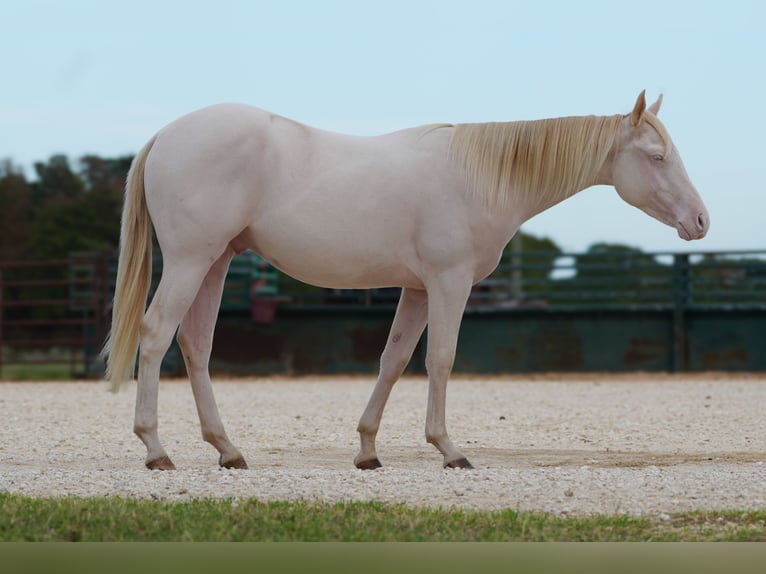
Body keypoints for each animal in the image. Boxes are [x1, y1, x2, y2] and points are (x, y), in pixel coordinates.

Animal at [104, 91, 709, 471]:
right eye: (657, 156)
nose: (701, 221)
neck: (480, 177)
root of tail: (166, 135)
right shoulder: (449, 282)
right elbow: (440, 359)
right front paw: (449, 450)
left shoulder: (417, 289)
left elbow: (393, 361)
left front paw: (368, 452)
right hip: (191, 260)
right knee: (156, 335)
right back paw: (156, 451)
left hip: (216, 262)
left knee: (195, 346)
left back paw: (227, 450)